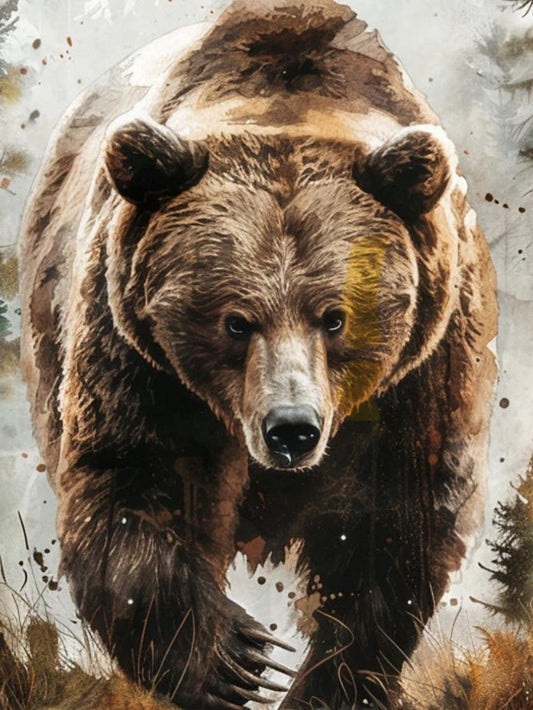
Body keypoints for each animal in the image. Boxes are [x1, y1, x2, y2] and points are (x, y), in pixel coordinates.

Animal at [19, 0, 498, 708]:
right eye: (236, 322)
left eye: (335, 317)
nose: (291, 430)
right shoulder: (138, 354)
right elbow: (134, 478)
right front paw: (234, 659)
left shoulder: (422, 373)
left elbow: (393, 526)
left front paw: (325, 681)